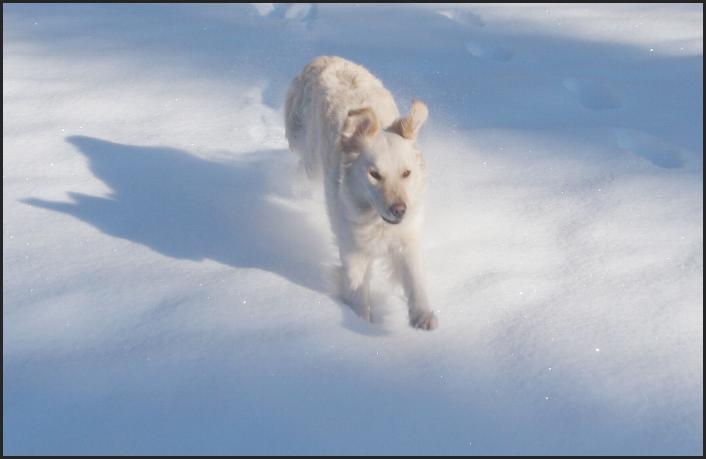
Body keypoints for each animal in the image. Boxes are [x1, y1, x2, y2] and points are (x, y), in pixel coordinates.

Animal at [282, 55, 434, 330]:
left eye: (406, 173)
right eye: (374, 174)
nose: (399, 210)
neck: (376, 221)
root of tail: (324, 58)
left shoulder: (407, 238)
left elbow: (414, 277)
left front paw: (423, 315)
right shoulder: (353, 249)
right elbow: (357, 290)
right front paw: (360, 325)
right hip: (311, 158)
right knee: (303, 167)